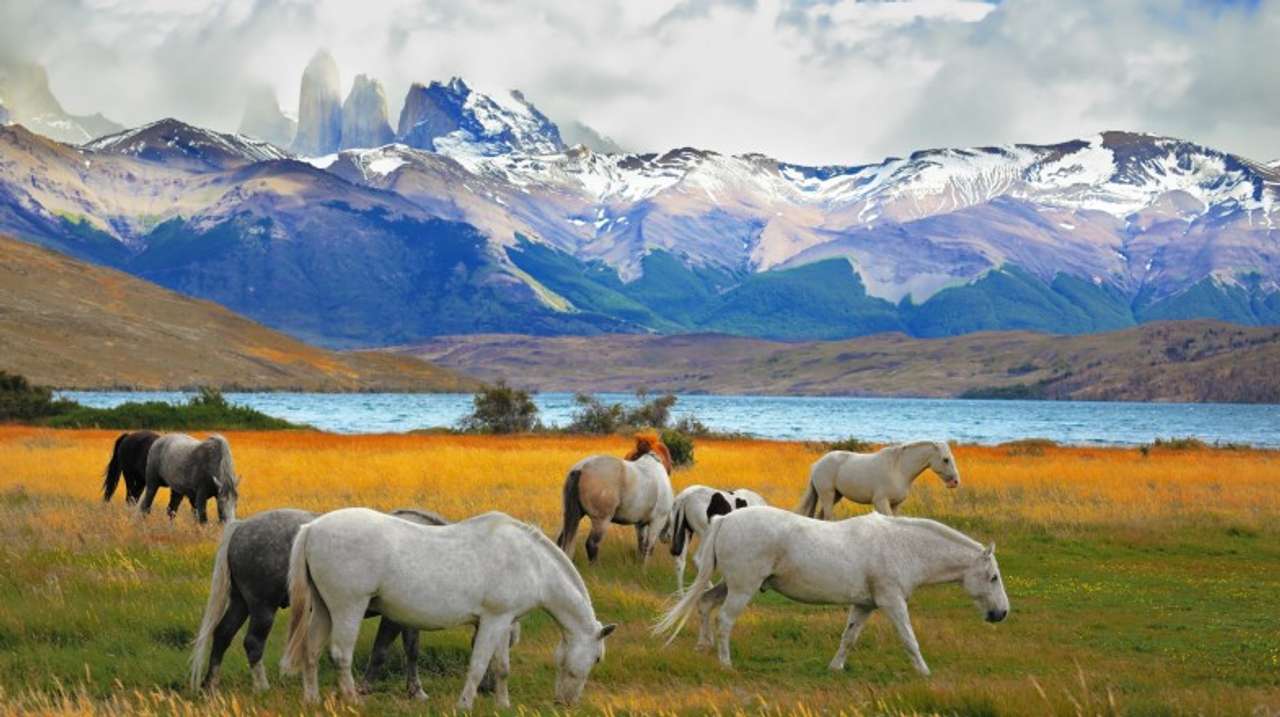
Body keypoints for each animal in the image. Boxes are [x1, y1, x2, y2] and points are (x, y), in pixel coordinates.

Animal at [190, 507, 511, 697]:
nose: (488, 688)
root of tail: (242, 526)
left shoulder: (411, 616)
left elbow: (411, 651)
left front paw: (414, 691)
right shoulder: (395, 617)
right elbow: (383, 651)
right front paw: (368, 687)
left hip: (241, 602)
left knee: (222, 636)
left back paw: (209, 686)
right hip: (262, 607)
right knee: (253, 643)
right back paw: (262, 686)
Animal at [280, 508, 614, 709]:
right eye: (597, 658)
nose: (566, 703)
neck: (531, 562)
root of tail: (313, 528)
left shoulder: (504, 622)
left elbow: (501, 667)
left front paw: (502, 705)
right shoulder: (493, 621)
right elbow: (478, 665)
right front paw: (464, 705)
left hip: (324, 608)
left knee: (311, 650)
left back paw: (311, 699)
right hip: (348, 607)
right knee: (340, 654)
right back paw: (352, 700)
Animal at [555, 434, 675, 564]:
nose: (668, 538)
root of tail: (581, 468)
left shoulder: (640, 524)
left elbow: (641, 545)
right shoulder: (657, 521)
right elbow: (649, 547)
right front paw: (645, 567)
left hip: (574, 515)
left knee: (562, 540)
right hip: (601, 520)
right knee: (591, 544)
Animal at [654, 506, 1008, 673]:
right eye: (993, 577)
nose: (1001, 613)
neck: (902, 546)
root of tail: (725, 519)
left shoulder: (865, 605)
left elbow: (848, 638)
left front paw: (835, 667)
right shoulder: (892, 602)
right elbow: (909, 639)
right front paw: (924, 671)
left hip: (731, 584)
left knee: (703, 604)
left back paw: (703, 647)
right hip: (743, 587)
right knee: (724, 620)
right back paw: (726, 662)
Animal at [798, 440, 960, 518]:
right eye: (945, 459)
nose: (955, 482)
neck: (898, 469)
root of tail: (817, 464)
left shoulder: (895, 505)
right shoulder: (881, 502)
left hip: (836, 496)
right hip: (828, 495)